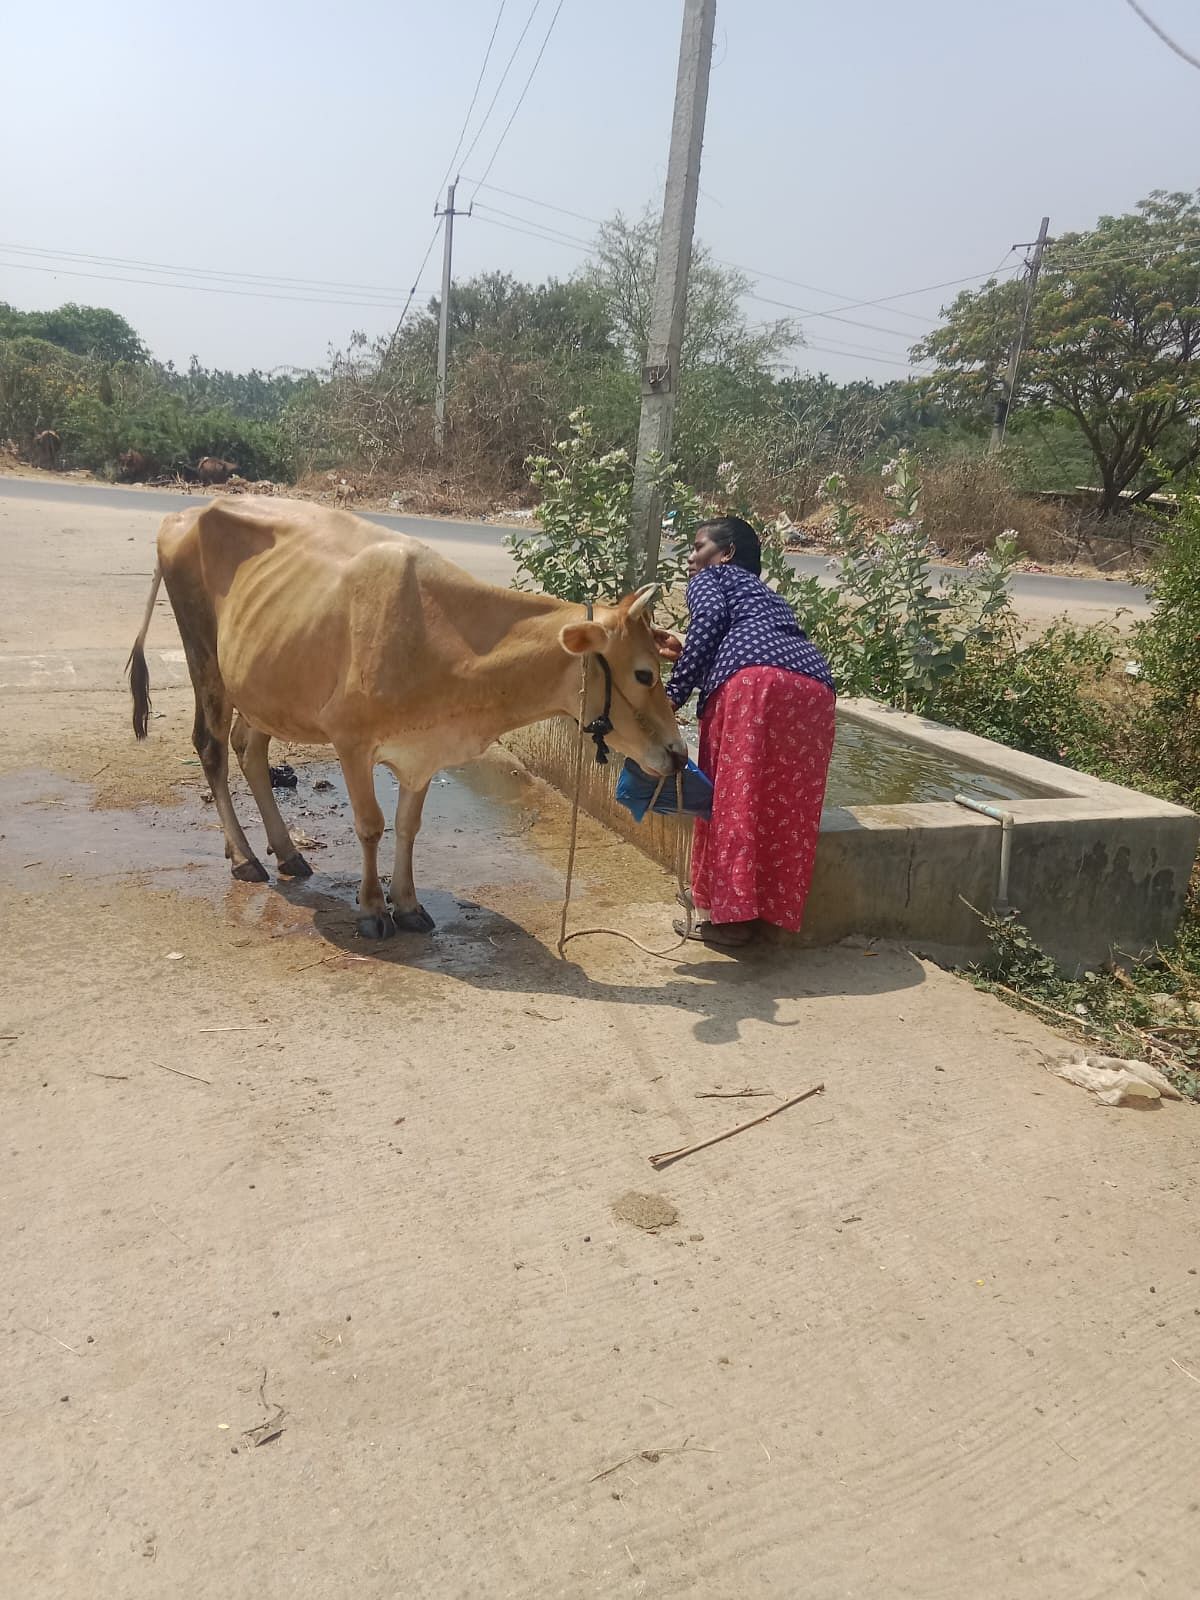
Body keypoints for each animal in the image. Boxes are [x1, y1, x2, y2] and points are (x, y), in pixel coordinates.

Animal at [128, 496, 691, 934]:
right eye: (644, 673)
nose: (679, 754)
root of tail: (183, 514)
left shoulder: (423, 753)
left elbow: (408, 824)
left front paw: (408, 903)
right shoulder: (351, 740)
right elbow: (371, 824)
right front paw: (373, 908)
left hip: (266, 685)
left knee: (249, 748)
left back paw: (286, 853)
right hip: (205, 658)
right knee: (211, 749)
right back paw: (244, 857)